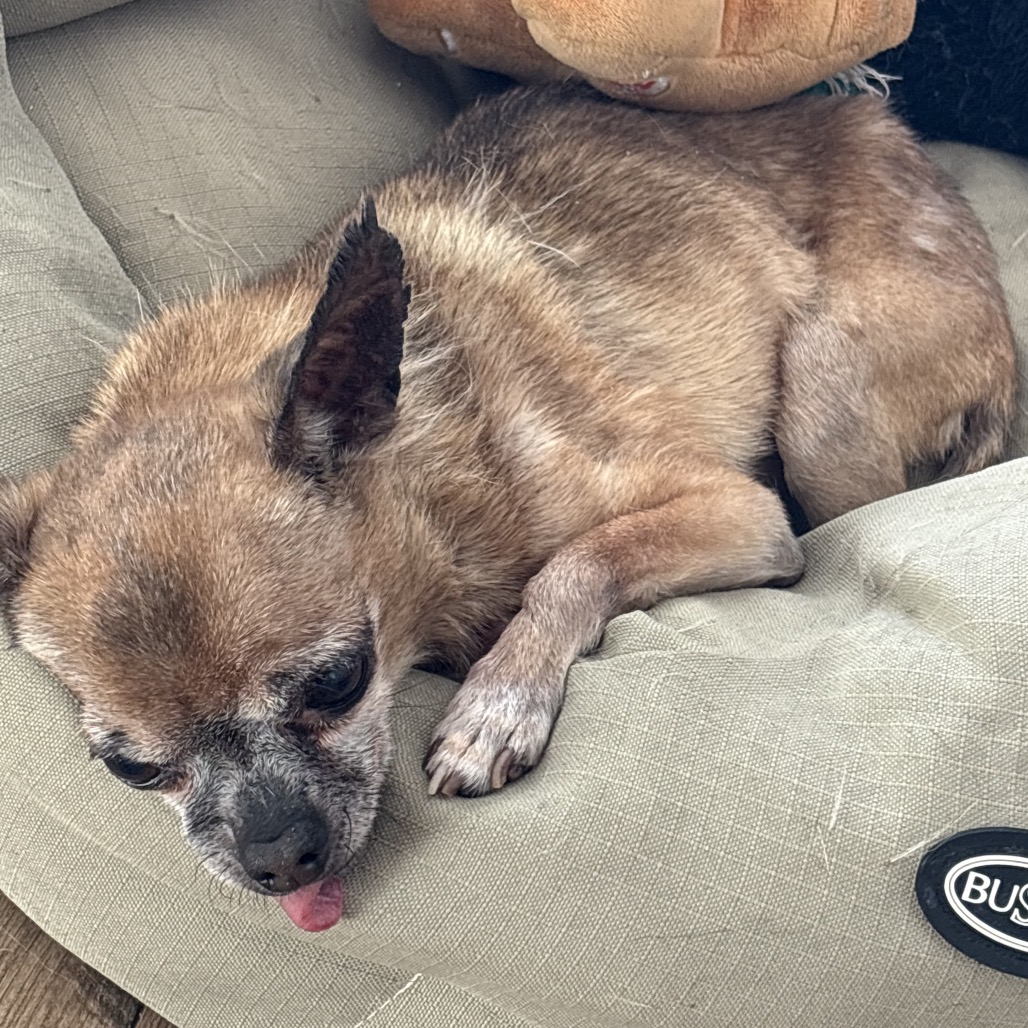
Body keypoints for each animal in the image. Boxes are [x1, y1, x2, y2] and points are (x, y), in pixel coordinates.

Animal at [0, 85, 1016, 931]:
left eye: (338, 682)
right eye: (133, 770)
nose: (278, 858)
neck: (428, 492)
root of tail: (879, 125)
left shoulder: (742, 512)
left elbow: (579, 561)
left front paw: (499, 702)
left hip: (819, 398)